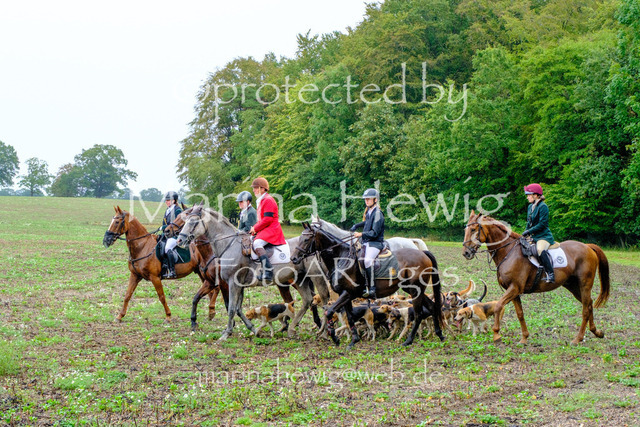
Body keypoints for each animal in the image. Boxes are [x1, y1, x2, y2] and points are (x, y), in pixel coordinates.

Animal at [176, 205, 327, 340]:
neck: (229, 245)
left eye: (193, 222)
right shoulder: (239, 285)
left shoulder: (232, 283)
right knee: (307, 300)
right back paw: (291, 328)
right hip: (300, 279)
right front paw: (253, 329)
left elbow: (231, 308)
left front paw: (227, 333)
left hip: (315, 278)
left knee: (320, 298)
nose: (179, 239)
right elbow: (238, 308)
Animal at [291, 222, 444, 348]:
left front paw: (335, 338)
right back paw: (439, 334)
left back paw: (409, 340)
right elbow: (350, 316)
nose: (293, 258)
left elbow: (329, 312)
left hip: (415, 291)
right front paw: (354, 340)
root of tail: (422, 253)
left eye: (306, 239)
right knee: (431, 306)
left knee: (418, 314)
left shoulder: (348, 293)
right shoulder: (345, 295)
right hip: (413, 289)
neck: (341, 257)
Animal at [462, 210, 610, 344]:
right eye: (466, 229)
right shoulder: (514, 291)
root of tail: (587, 247)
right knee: (589, 304)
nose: (466, 253)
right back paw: (596, 332)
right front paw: (524, 338)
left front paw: (496, 335)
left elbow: (498, 306)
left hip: (585, 284)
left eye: (474, 229)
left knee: (585, 308)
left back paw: (578, 338)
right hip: (573, 286)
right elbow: (520, 313)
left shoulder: (514, 288)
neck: (508, 252)